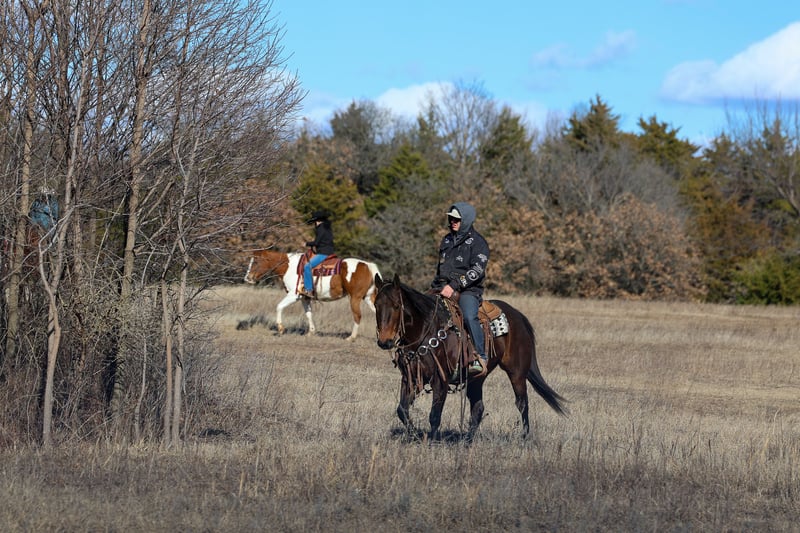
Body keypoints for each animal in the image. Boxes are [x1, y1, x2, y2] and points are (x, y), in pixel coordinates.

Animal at [243, 250, 381, 341]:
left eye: (255, 262)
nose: (247, 278)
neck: (288, 266)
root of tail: (369, 266)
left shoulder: (294, 295)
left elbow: (279, 307)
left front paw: (281, 329)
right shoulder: (305, 298)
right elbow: (309, 314)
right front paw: (311, 332)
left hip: (355, 298)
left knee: (357, 316)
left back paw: (351, 337)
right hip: (368, 298)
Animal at [374, 273, 567, 441]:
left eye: (396, 305)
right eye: (376, 305)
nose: (384, 341)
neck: (426, 330)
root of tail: (517, 316)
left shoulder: (440, 380)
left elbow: (434, 415)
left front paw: (432, 443)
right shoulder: (411, 378)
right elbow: (402, 410)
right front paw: (414, 434)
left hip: (517, 372)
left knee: (522, 403)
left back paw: (524, 438)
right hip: (477, 378)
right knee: (478, 407)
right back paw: (466, 440)